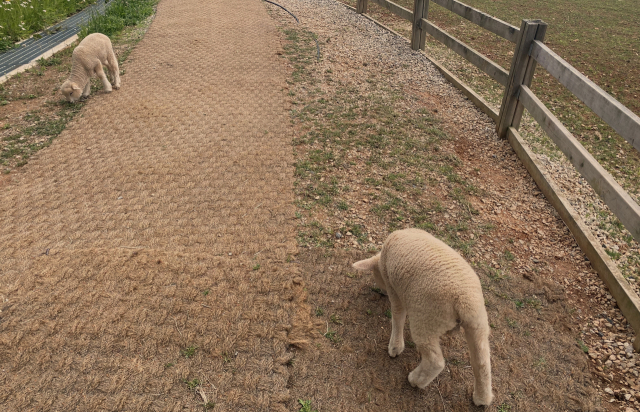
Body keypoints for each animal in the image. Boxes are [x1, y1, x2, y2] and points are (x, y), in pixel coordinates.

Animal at [350, 229, 496, 406]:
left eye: (375, 276)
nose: (381, 292)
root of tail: (464, 301)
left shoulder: (393, 287)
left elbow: (398, 315)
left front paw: (395, 347)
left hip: (426, 319)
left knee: (435, 361)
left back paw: (415, 380)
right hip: (477, 322)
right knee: (482, 363)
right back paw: (482, 399)